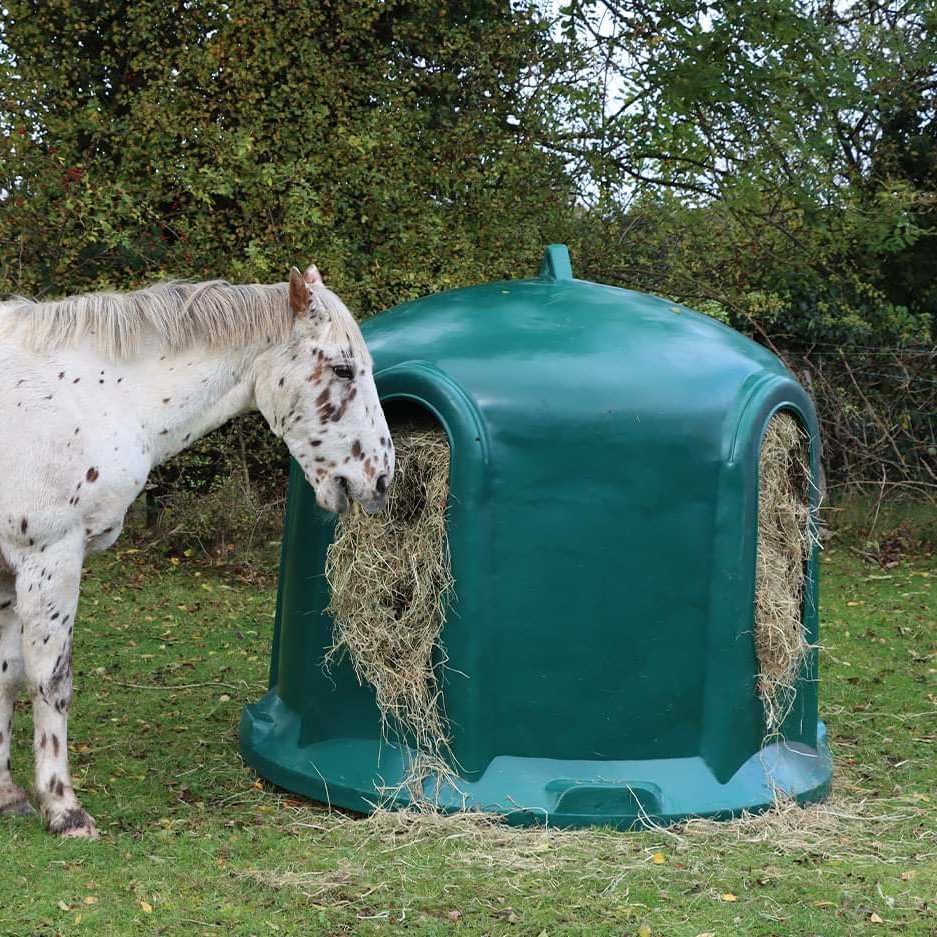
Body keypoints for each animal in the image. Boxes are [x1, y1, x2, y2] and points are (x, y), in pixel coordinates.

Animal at [0, 264, 394, 838]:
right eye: (343, 369)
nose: (382, 478)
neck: (85, 395)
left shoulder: (13, 569)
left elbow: (7, 675)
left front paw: (8, 796)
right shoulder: (49, 557)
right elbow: (50, 678)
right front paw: (64, 808)